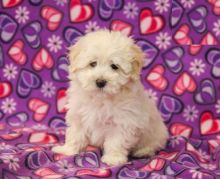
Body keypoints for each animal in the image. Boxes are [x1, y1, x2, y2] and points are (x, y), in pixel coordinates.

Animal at [52, 29, 169, 165]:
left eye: (114, 66)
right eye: (93, 63)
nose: (100, 81)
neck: (100, 99)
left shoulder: (123, 122)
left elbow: (116, 142)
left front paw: (113, 158)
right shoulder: (78, 116)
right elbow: (75, 135)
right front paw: (67, 150)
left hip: (156, 134)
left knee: (154, 144)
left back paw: (143, 151)